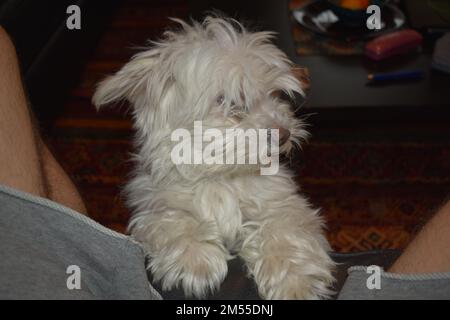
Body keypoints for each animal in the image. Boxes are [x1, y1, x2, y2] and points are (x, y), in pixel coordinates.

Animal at [93, 15, 334, 300]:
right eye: (230, 101)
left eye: (275, 94)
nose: (283, 134)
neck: (221, 175)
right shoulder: (154, 205)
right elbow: (173, 219)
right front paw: (193, 258)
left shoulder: (280, 203)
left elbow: (285, 229)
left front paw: (296, 281)